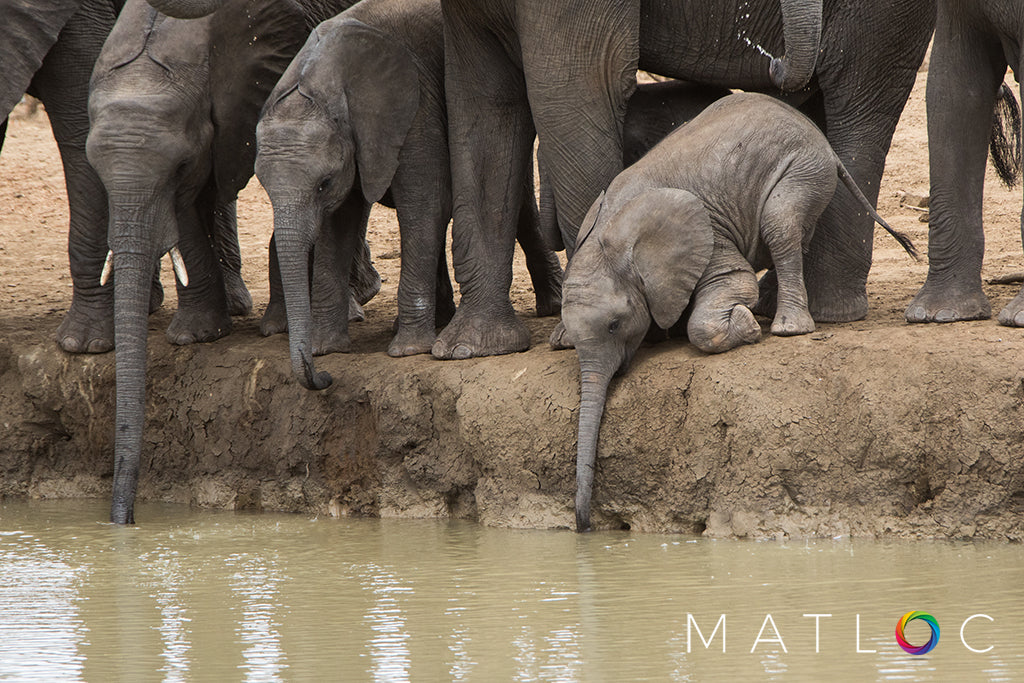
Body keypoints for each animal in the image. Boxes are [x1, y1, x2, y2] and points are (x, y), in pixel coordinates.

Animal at [253, 0, 561, 389]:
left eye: (323, 183)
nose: (322, 378)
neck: (319, 76)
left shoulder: (412, 105)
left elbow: (425, 201)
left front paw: (408, 351)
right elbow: (339, 222)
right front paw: (327, 349)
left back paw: (552, 306)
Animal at [432, 0, 937, 360]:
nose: (770, 61)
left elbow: (576, 84)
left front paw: (570, 337)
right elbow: (482, 106)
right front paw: (468, 350)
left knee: (858, 98)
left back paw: (803, 319)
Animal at [565, 90, 917, 532]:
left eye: (614, 325)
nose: (585, 527)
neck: (610, 236)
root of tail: (821, 139)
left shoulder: (707, 232)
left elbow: (732, 285)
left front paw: (745, 324)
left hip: (801, 169)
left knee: (781, 225)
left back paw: (785, 328)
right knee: (794, 235)